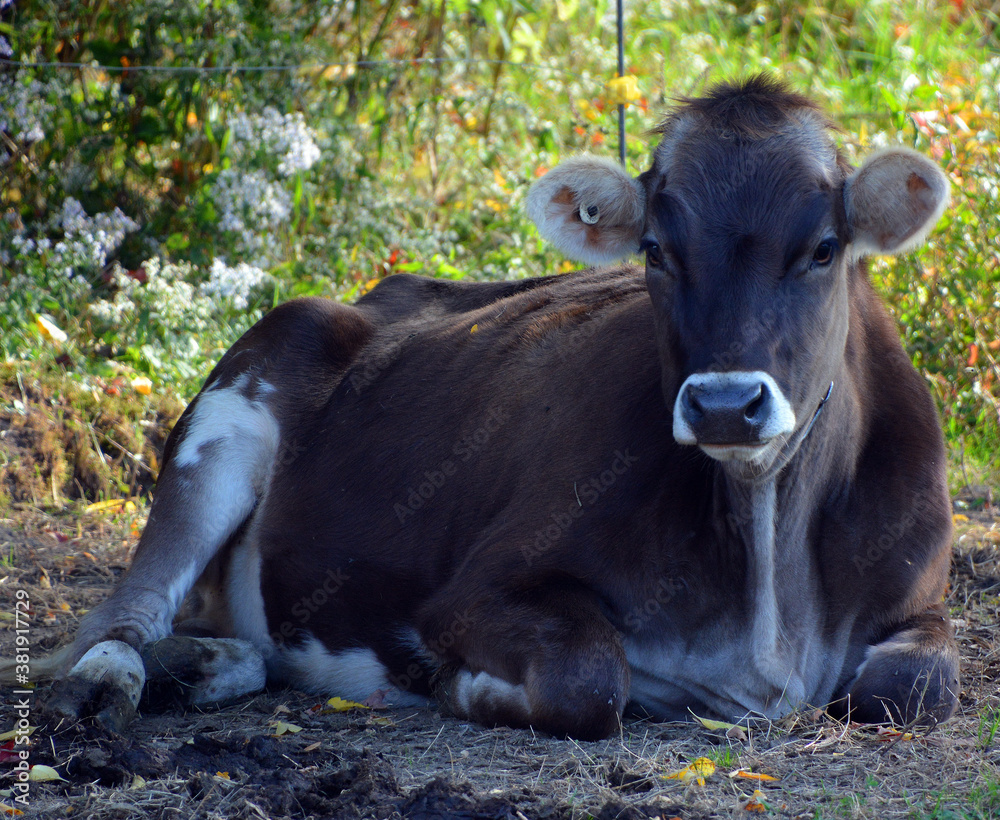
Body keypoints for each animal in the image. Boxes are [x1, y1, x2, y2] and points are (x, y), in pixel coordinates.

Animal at [16, 76, 959, 741]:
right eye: (656, 249)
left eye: (825, 248)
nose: (726, 404)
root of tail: (376, 293)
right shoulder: (472, 594)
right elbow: (590, 679)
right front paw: (460, 686)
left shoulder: (920, 600)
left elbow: (911, 688)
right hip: (222, 422)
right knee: (120, 619)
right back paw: (110, 685)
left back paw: (203, 666)